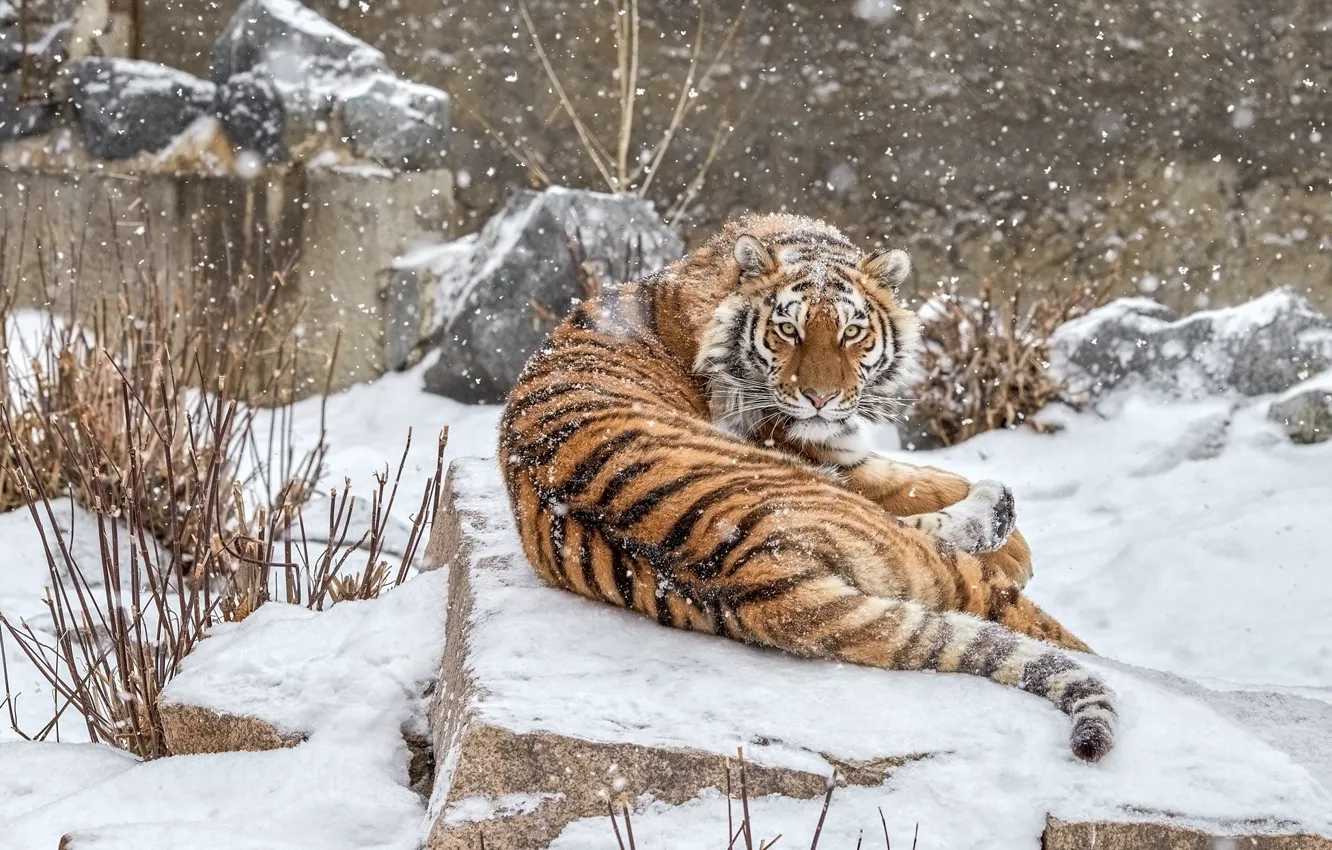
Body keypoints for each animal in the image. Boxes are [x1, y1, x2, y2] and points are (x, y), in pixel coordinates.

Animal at [497, 213, 1115, 762]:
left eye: (852, 332)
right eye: (787, 330)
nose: (819, 398)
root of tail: (756, 573)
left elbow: (925, 480)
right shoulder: (826, 451)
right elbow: (917, 480)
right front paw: (1017, 547)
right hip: (874, 529)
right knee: (999, 597)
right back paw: (1000, 517)